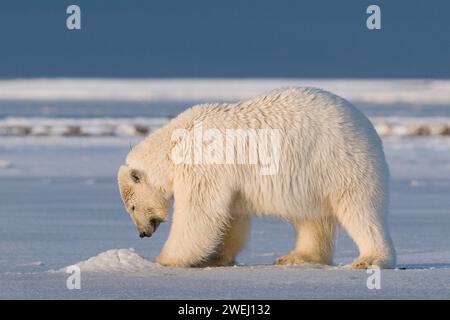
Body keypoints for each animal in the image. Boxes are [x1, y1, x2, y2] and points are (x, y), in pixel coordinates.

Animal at [118, 87, 396, 268]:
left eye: (131, 207)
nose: (142, 233)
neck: (174, 144)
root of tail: (366, 125)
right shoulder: (229, 181)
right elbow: (230, 216)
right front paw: (216, 258)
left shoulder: (203, 165)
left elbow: (198, 213)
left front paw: (163, 260)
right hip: (312, 180)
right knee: (312, 219)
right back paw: (297, 257)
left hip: (340, 163)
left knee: (359, 210)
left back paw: (370, 259)